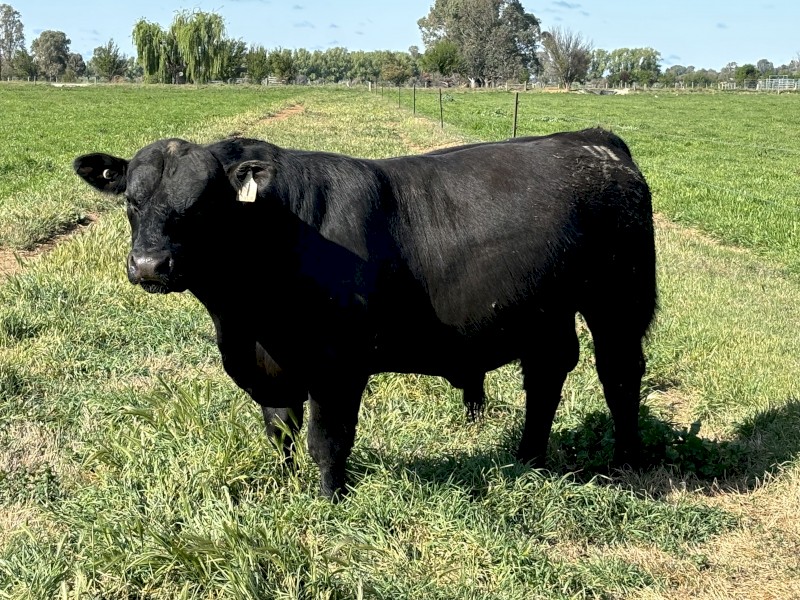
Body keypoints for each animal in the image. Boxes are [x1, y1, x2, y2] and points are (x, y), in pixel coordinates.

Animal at [74, 128, 657, 499]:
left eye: (203, 205)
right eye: (131, 201)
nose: (150, 265)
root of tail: (592, 139)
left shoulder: (337, 367)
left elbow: (327, 441)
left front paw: (329, 501)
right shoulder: (270, 368)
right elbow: (281, 432)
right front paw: (282, 488)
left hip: (619, 299)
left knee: (619, 375)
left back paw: (628, 463)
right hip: (544, 312)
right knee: (546, 373)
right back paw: (529, 458)